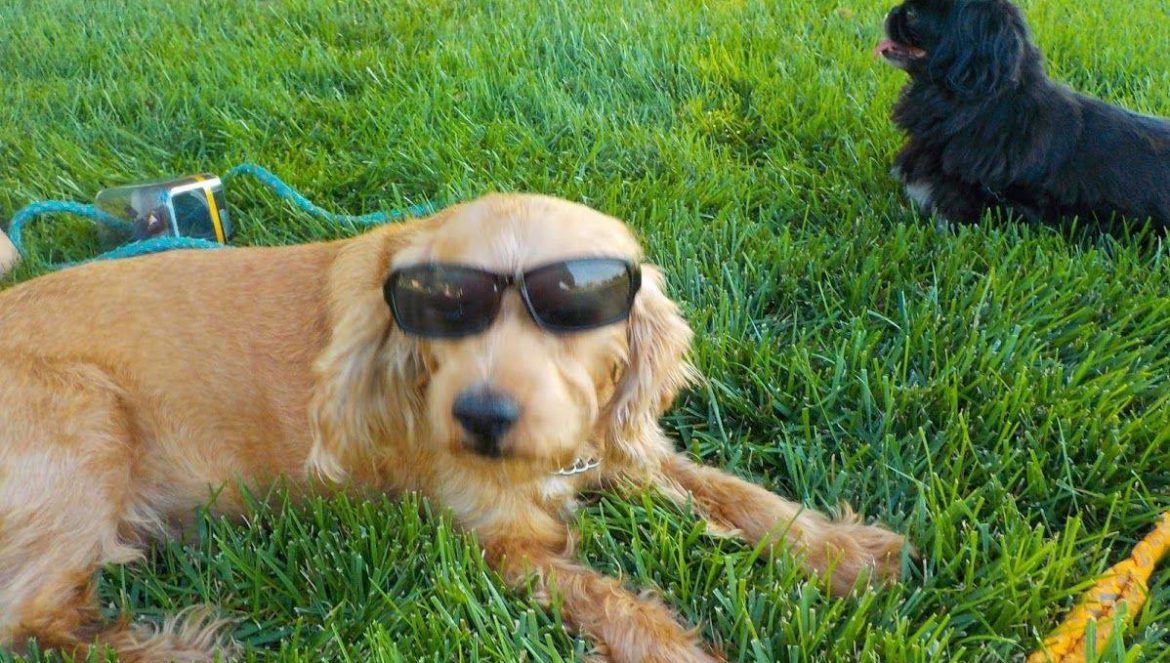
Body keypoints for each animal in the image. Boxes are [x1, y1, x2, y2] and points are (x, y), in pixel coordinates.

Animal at [0, 193, 907, 662]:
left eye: (572, 303)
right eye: (440, 304)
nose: (483, 417)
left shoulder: (621, 445)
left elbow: (736, 492)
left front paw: (841, 549)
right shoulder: (504, 544)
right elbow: (613, 600)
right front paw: (678, 651)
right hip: (87, 419)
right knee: (31, 616)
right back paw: (178, 645)